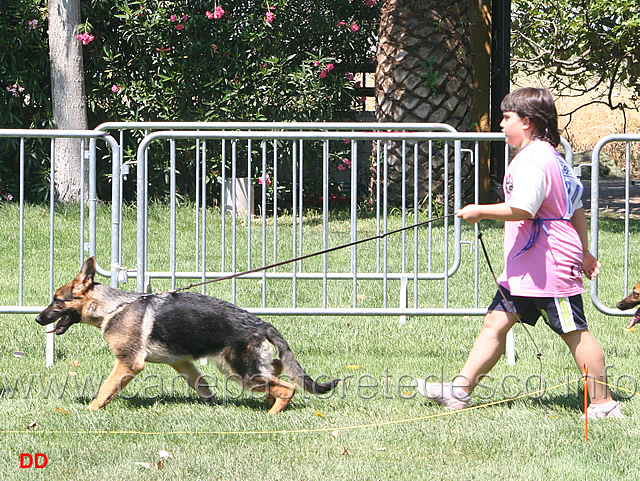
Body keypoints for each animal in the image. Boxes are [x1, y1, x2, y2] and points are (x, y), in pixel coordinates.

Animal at [35, 258, 340, 412]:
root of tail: (261, 323)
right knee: (276, 369)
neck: (114, 306)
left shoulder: (128, 363)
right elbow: (200, 386)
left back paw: (273, 411)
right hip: (240, 367)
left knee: (287, 387)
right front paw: (212, 405)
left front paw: (91, 409)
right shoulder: (182, 363)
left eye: (57, 301)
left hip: (241, 373)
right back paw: (270, 399)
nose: (38, 319)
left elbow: (106, 387)